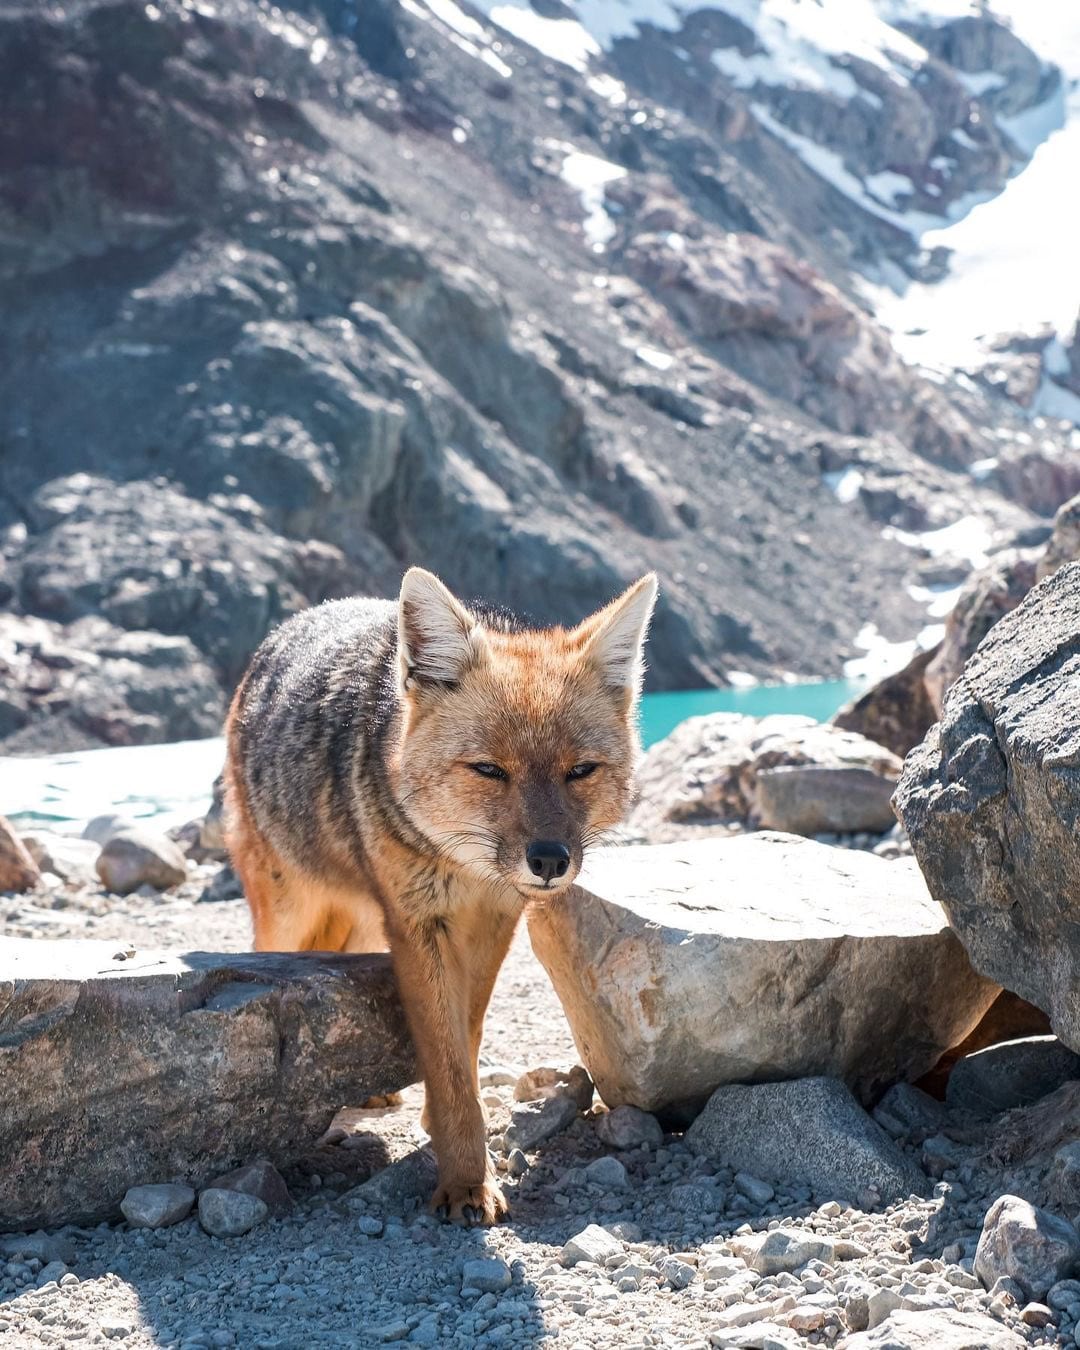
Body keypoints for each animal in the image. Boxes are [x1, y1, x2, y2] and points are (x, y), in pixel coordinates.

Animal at [224, 564, 653, 1231]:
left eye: (580, 771)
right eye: (489, 770)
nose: (550, 860)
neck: (466, 870)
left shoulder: (491, 922)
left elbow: (464, 1041)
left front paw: (451, 1137)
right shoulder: (417, 925)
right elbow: (448, 1057)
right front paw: (466, 1184)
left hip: (365, 922)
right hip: (290, 917)